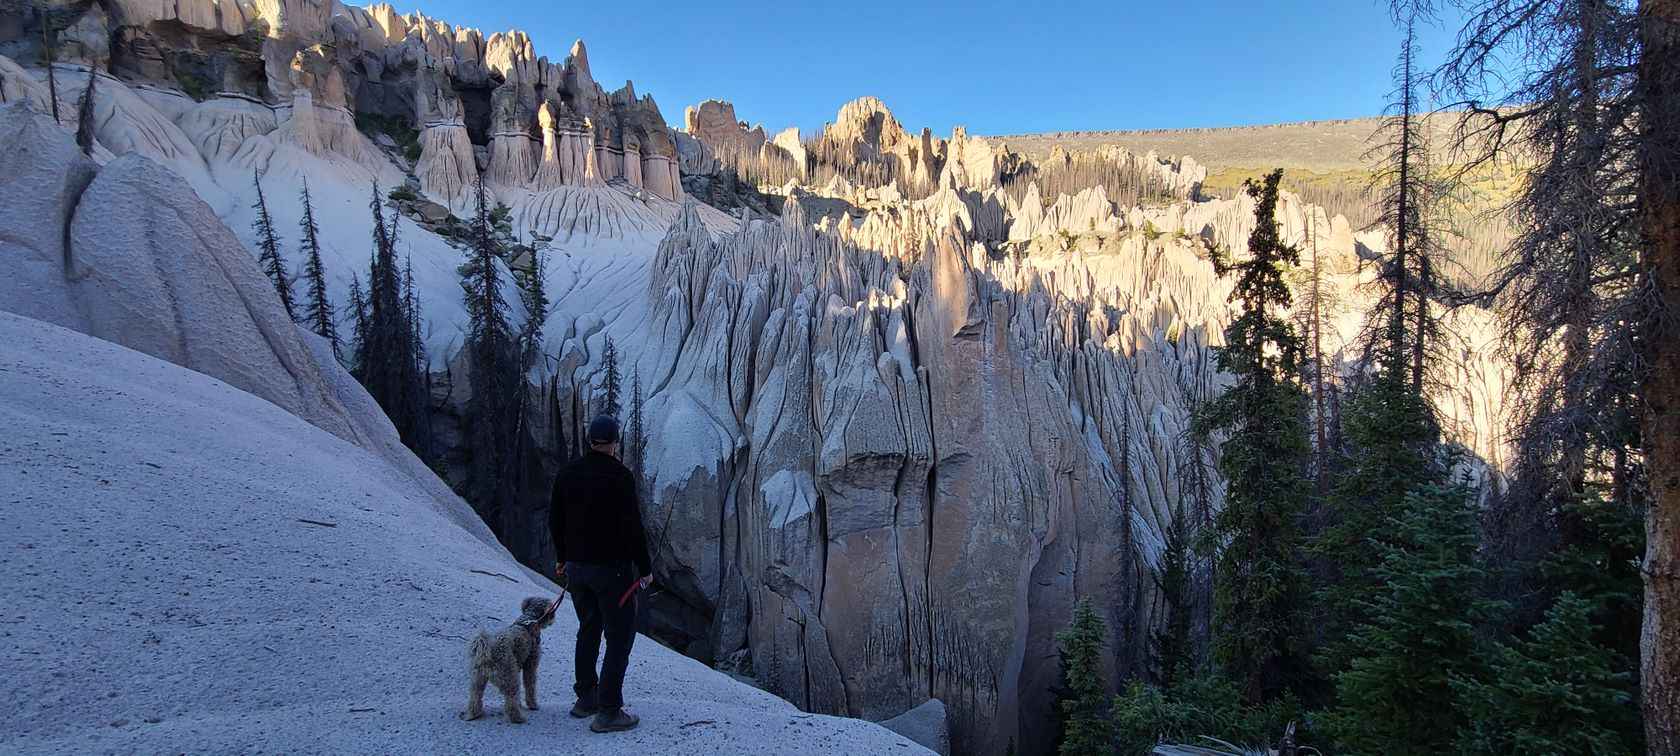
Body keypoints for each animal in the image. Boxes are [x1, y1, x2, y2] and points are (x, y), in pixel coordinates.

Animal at [460, 594, 557, 722]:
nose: (553, 619)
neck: (529, 619)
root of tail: (490, 649)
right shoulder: (530, 665)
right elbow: (530, 686)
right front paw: (533, 705)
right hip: (509, 677)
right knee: (511, 700)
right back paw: (518, 718)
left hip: (478, 678)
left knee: (475, 697)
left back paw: (473, 714)